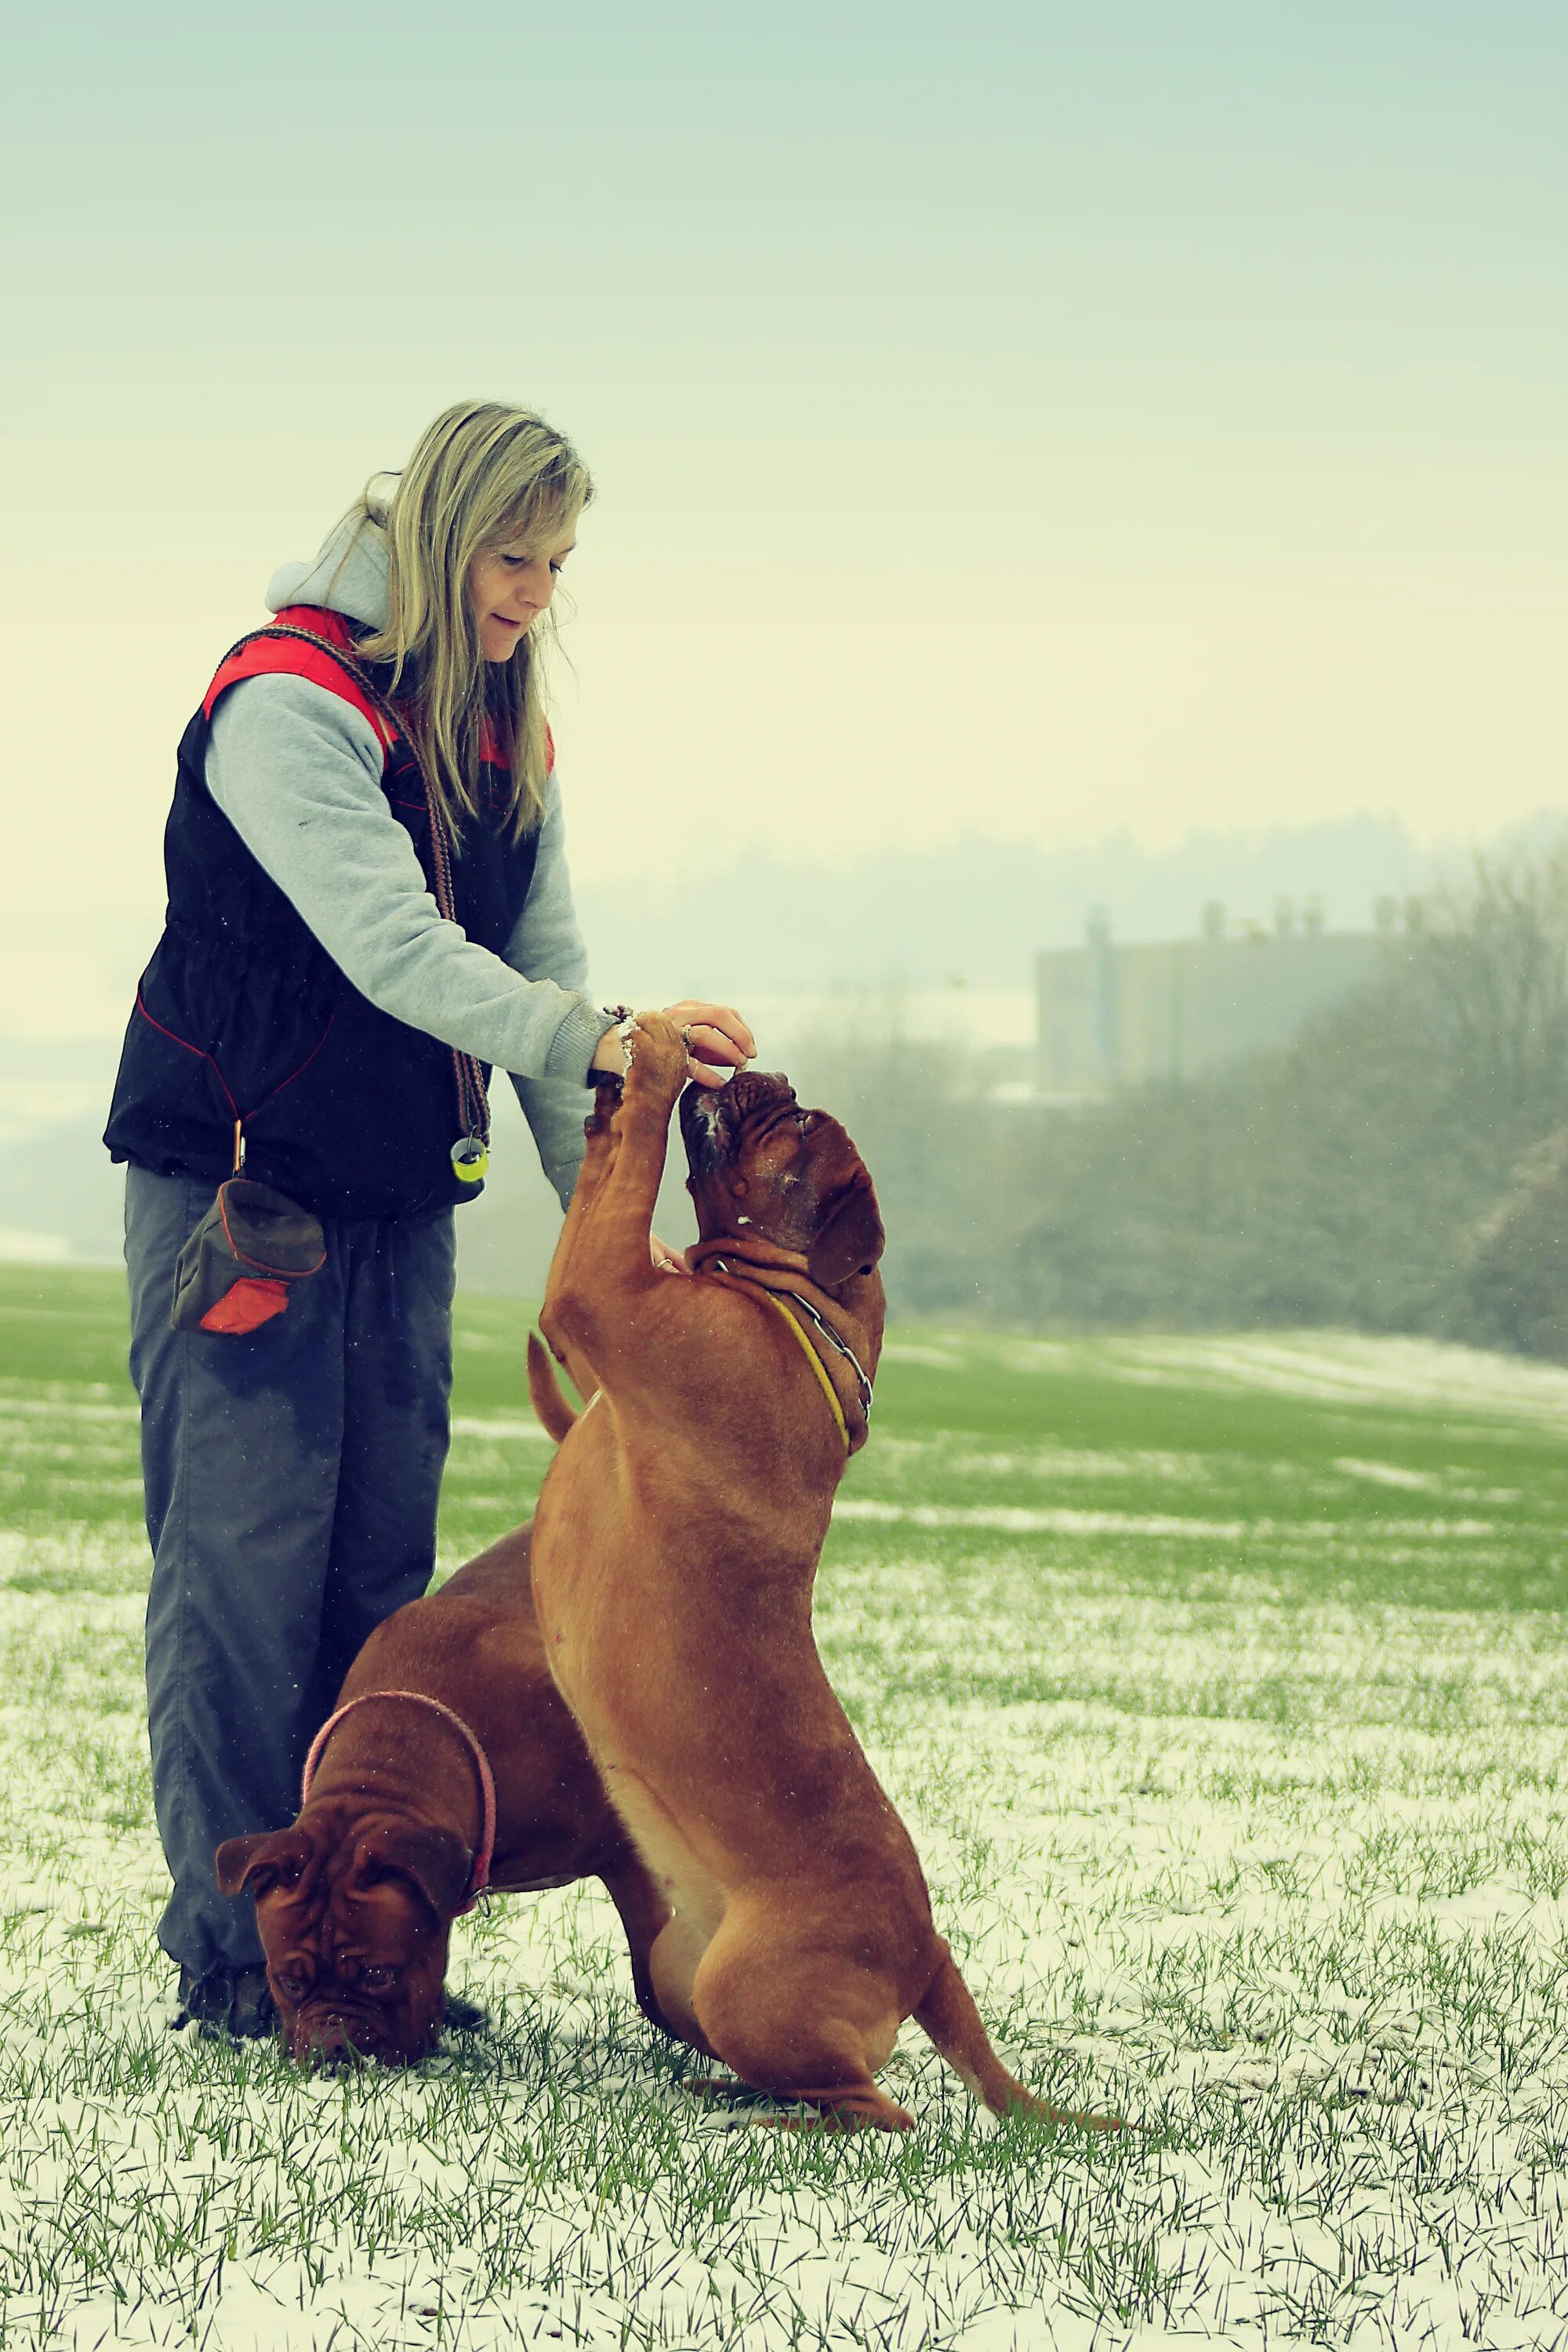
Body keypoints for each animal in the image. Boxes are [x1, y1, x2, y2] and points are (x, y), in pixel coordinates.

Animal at [526, 1011, 1114, 2136]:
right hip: (679, 1966)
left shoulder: (599, 1293)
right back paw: (734, 2091)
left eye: (795, 1124)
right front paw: (612, 1091)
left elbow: (630, 1179)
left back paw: (772, 2117)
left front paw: (651, 1060)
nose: (771, 1072)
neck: (793, 1300)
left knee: (882, 2111)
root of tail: (929, 1956)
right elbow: (606, 1174)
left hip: (742, 1988)